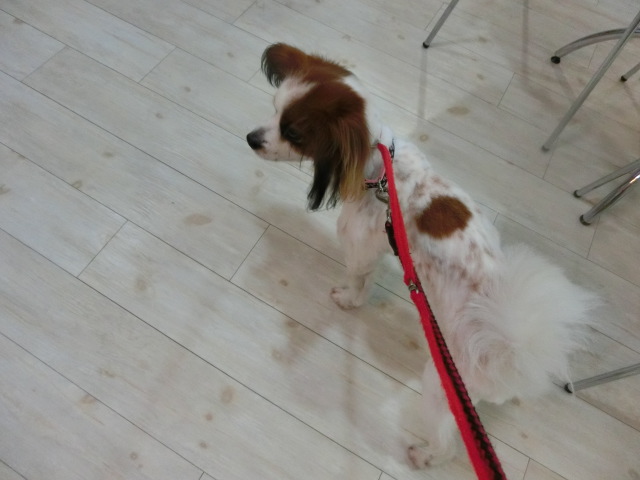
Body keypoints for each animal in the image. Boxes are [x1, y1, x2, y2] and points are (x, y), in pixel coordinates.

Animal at [247, 43, 598, 468]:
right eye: (274, 107)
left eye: (293, 132)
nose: (250, 138)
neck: (380, 172)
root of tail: (511, 349)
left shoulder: (359, 248)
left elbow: (356, 282)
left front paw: (347, 300)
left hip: (440, 389)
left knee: (447, 442)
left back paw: (424, 455)